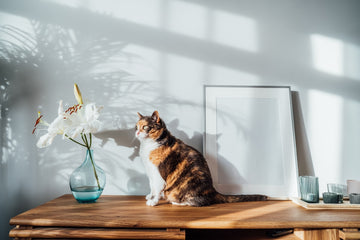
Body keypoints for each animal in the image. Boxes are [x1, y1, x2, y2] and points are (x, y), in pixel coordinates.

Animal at [136, 110, 268, 206]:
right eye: (136, 127)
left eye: (145, 127)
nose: (136, 133)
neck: (148, 145)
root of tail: (213, 190)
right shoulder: (150, 171)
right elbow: (152, 186)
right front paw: (149, 196)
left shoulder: (158, 173)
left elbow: (157, 188)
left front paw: (153, 201)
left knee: (200, 202)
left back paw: (176, 202)